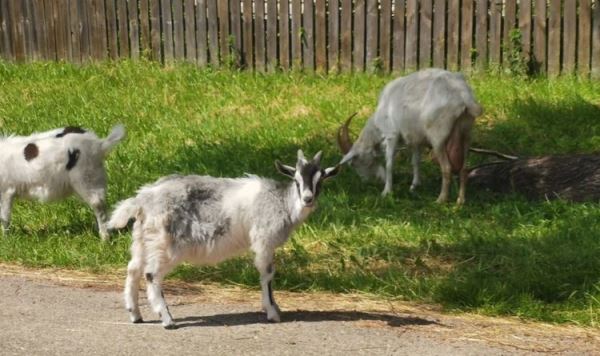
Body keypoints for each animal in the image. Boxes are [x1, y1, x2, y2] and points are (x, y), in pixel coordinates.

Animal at [108, 149, 340, 328]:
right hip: (166, 244)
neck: (281, 201)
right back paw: (167, 319)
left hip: (144, 238)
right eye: (297, 180)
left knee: (133, 269)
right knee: (151, 274)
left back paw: (136, 315)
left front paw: (274, 308)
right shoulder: (263, 240)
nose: (308, 199)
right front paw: (272, 312)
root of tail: (142, 199)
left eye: (321, 180)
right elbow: (267, 274)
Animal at [338, 68, 482, 204]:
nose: (365, 181)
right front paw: (414, 186)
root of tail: (462, 96)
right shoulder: (416, 138)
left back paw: (441, 199)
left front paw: (386, 192)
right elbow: (416, 161)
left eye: (353, 163)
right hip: (466, 132)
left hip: (438, 136)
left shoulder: (391, 135)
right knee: (464, 168)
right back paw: (460, 200)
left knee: (447, 167)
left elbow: (389, 163)